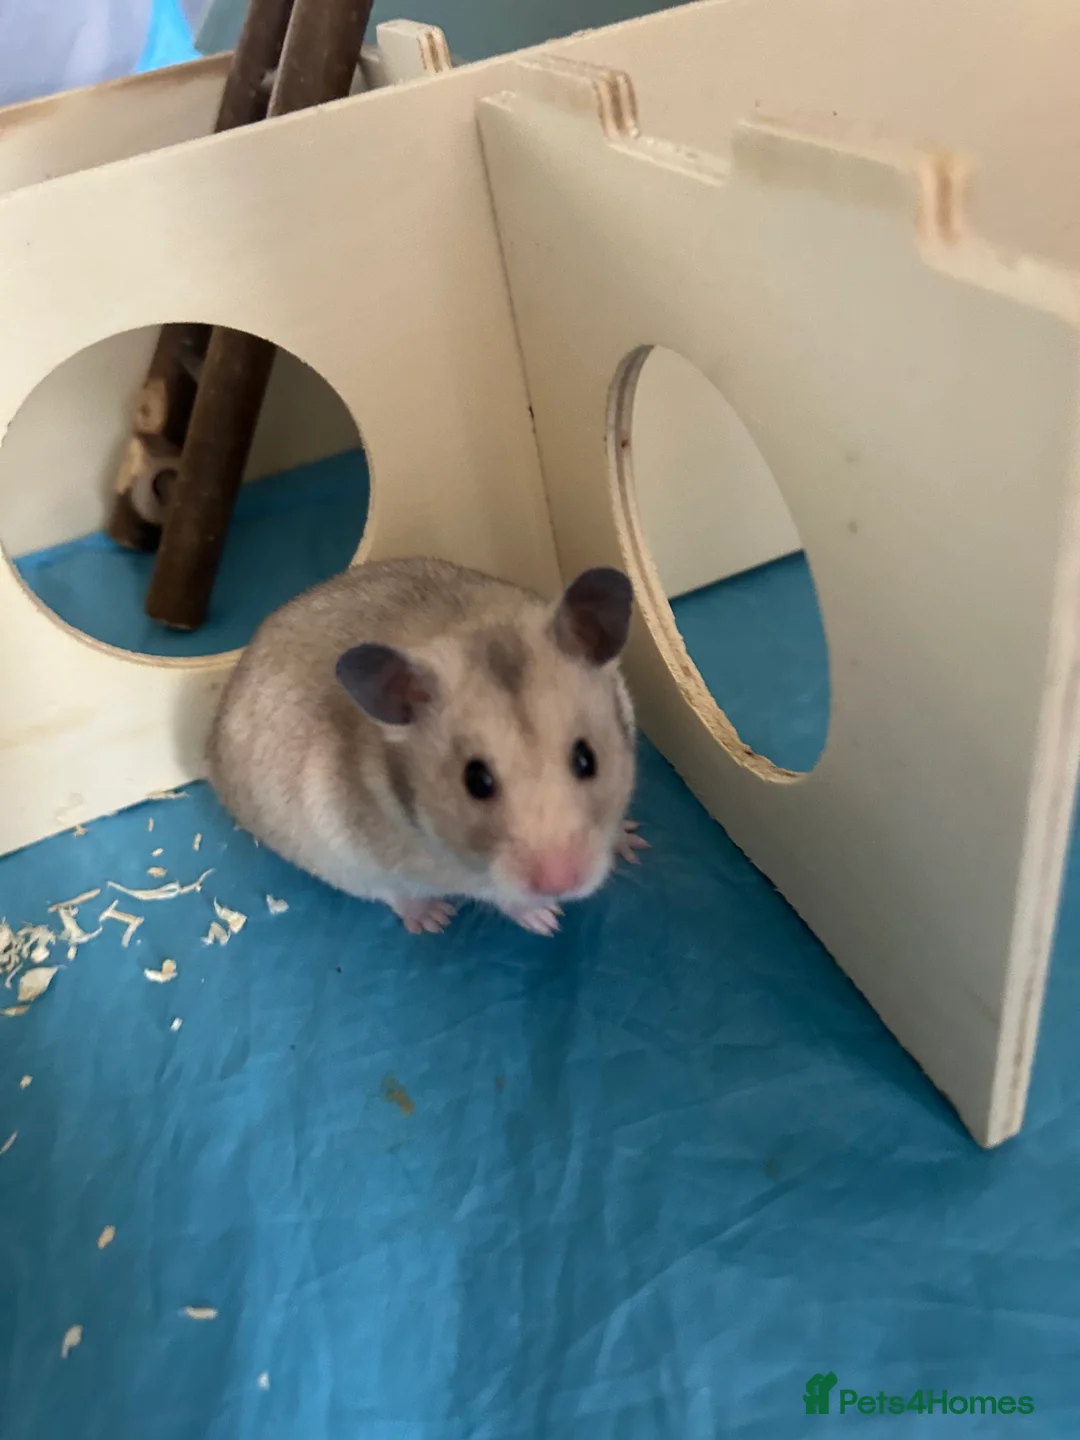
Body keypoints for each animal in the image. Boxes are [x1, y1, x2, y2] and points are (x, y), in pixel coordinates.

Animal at [207, 557, 646, 935]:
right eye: (476, 781)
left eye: (587, 759)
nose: (561, 884)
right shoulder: (451, 872)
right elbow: (501, 895)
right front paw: (548, 921)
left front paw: (633, 842)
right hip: (339, 862)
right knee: (391, 894)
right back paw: (433, 918)